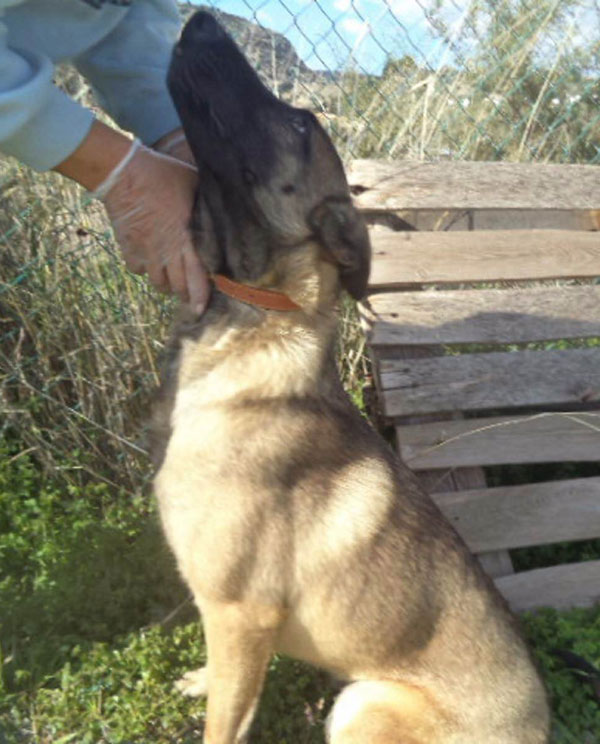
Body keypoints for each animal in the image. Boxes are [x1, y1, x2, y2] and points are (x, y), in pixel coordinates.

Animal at [152, 13, 552, 744]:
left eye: (300, 124)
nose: (198, 20)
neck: (253, 321)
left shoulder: (239, 614)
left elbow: (225, 719)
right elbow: (217, 677)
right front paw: (200, 679)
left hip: (363, 702)